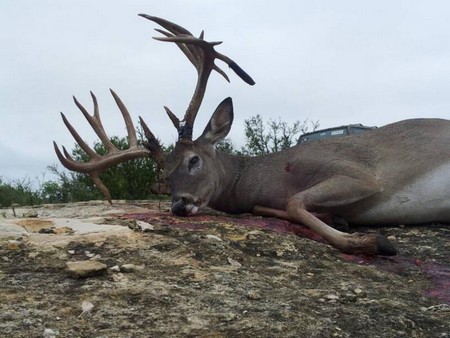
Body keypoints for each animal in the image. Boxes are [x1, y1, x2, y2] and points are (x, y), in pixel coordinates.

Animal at [53, 13, 450, 256]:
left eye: (193, 160)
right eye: (163, 176)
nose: (179, 205)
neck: (262, 175)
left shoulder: (358, 173)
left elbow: (295, 202)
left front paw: (374, 241)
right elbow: (279, 207)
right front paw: (340, 221)